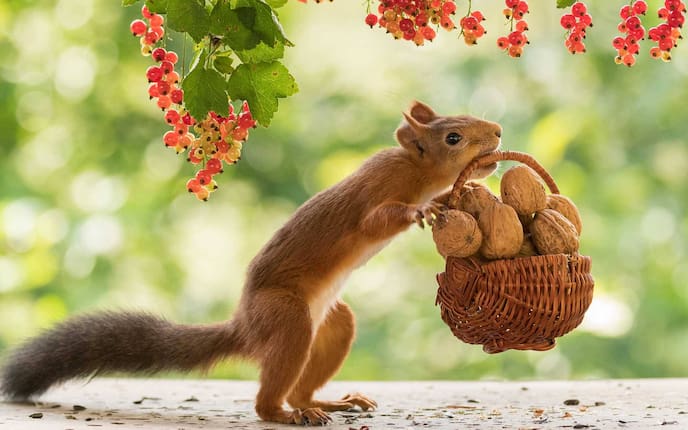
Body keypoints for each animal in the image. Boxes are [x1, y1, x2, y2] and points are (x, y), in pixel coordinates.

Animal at [0, 101, 502, 426]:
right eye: (453, 137)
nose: (497, 131)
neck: (414, 171)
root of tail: (245, 325)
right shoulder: (376, 192)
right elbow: (379, 219)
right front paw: (426, 210)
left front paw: (465, 194)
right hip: (287, 319)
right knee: (267, 399)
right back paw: (283, 413)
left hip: (332, 324)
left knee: (304, 381)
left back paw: (325, 404)